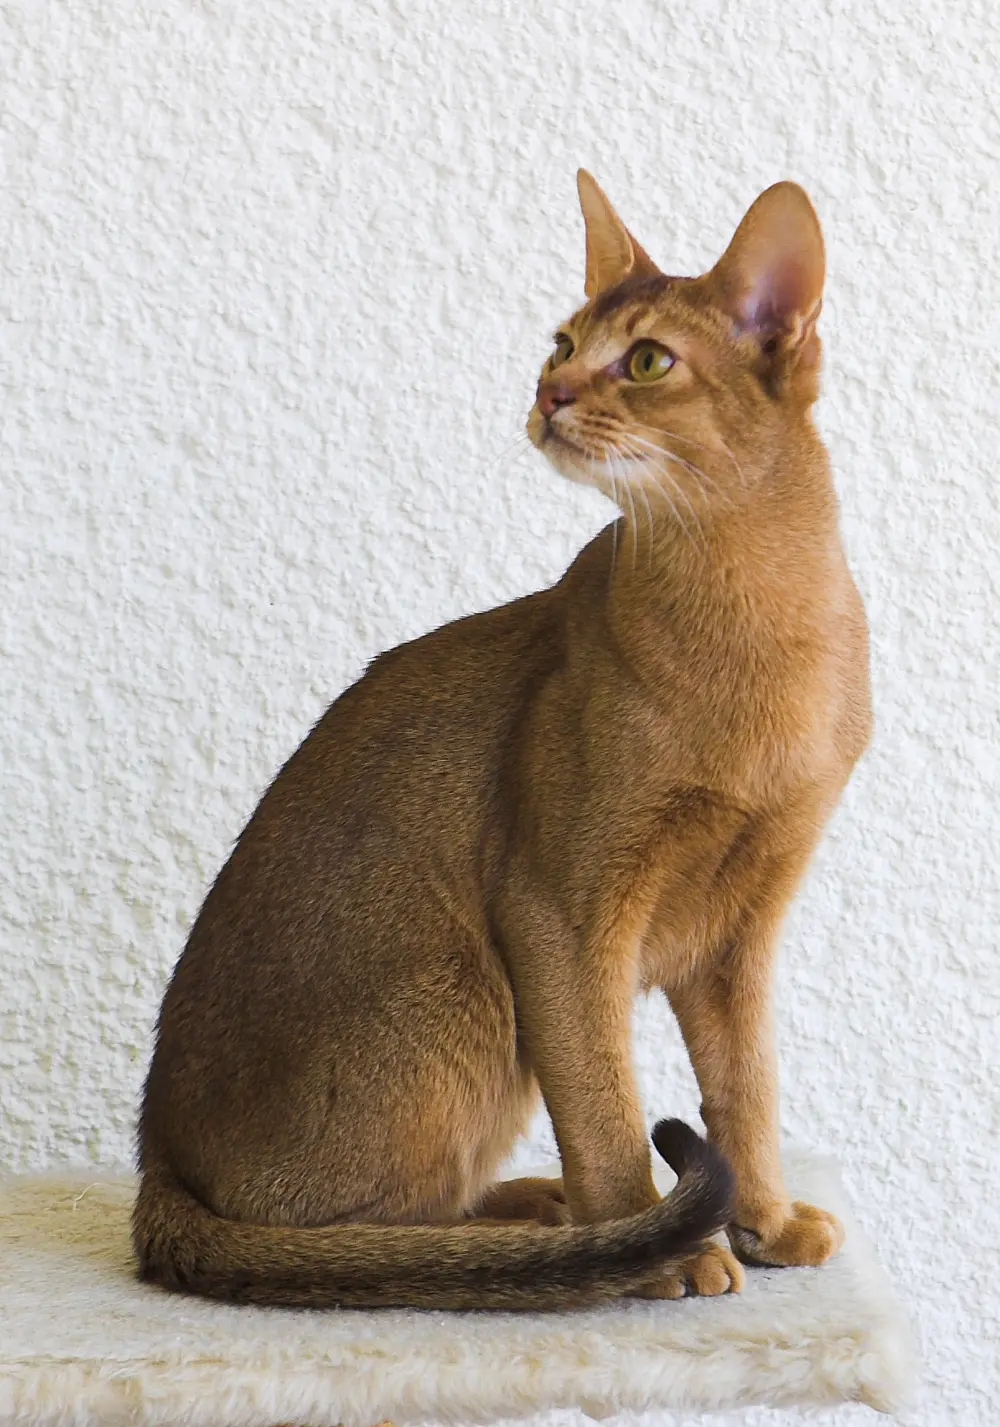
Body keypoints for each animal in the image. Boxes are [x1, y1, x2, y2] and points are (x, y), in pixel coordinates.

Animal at [130, 166, 867, 1307]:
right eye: (560, 343)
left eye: (646, 360)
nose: (550, 395)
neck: (756, 623)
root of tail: (155, 1162)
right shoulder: (558, 913)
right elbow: (606, 1105)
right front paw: (666, 1245)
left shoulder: (742, 927)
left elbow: (747, 1088)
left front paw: (768, 1220)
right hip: (466, 989)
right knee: (360, 1239)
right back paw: (561, 1229)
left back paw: (543, 1210)